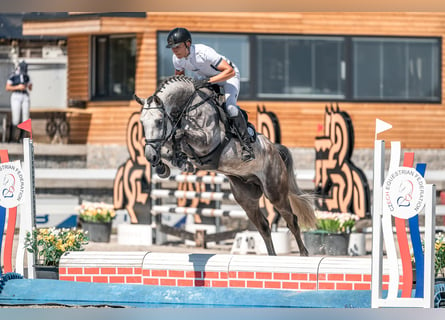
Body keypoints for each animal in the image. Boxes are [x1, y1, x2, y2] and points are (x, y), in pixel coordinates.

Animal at [135, 75, 316, 255]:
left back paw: (303, 255)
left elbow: (180, 135)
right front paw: (168, 165)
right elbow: (170, 144)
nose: (150, 156)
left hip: (274, 191)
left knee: (292, 220)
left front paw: (177, 157)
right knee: (263, 226)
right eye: (142, 122)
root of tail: (275, 150)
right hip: (246, 198)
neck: (188, 106)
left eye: (159, 121)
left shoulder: (207, 141)